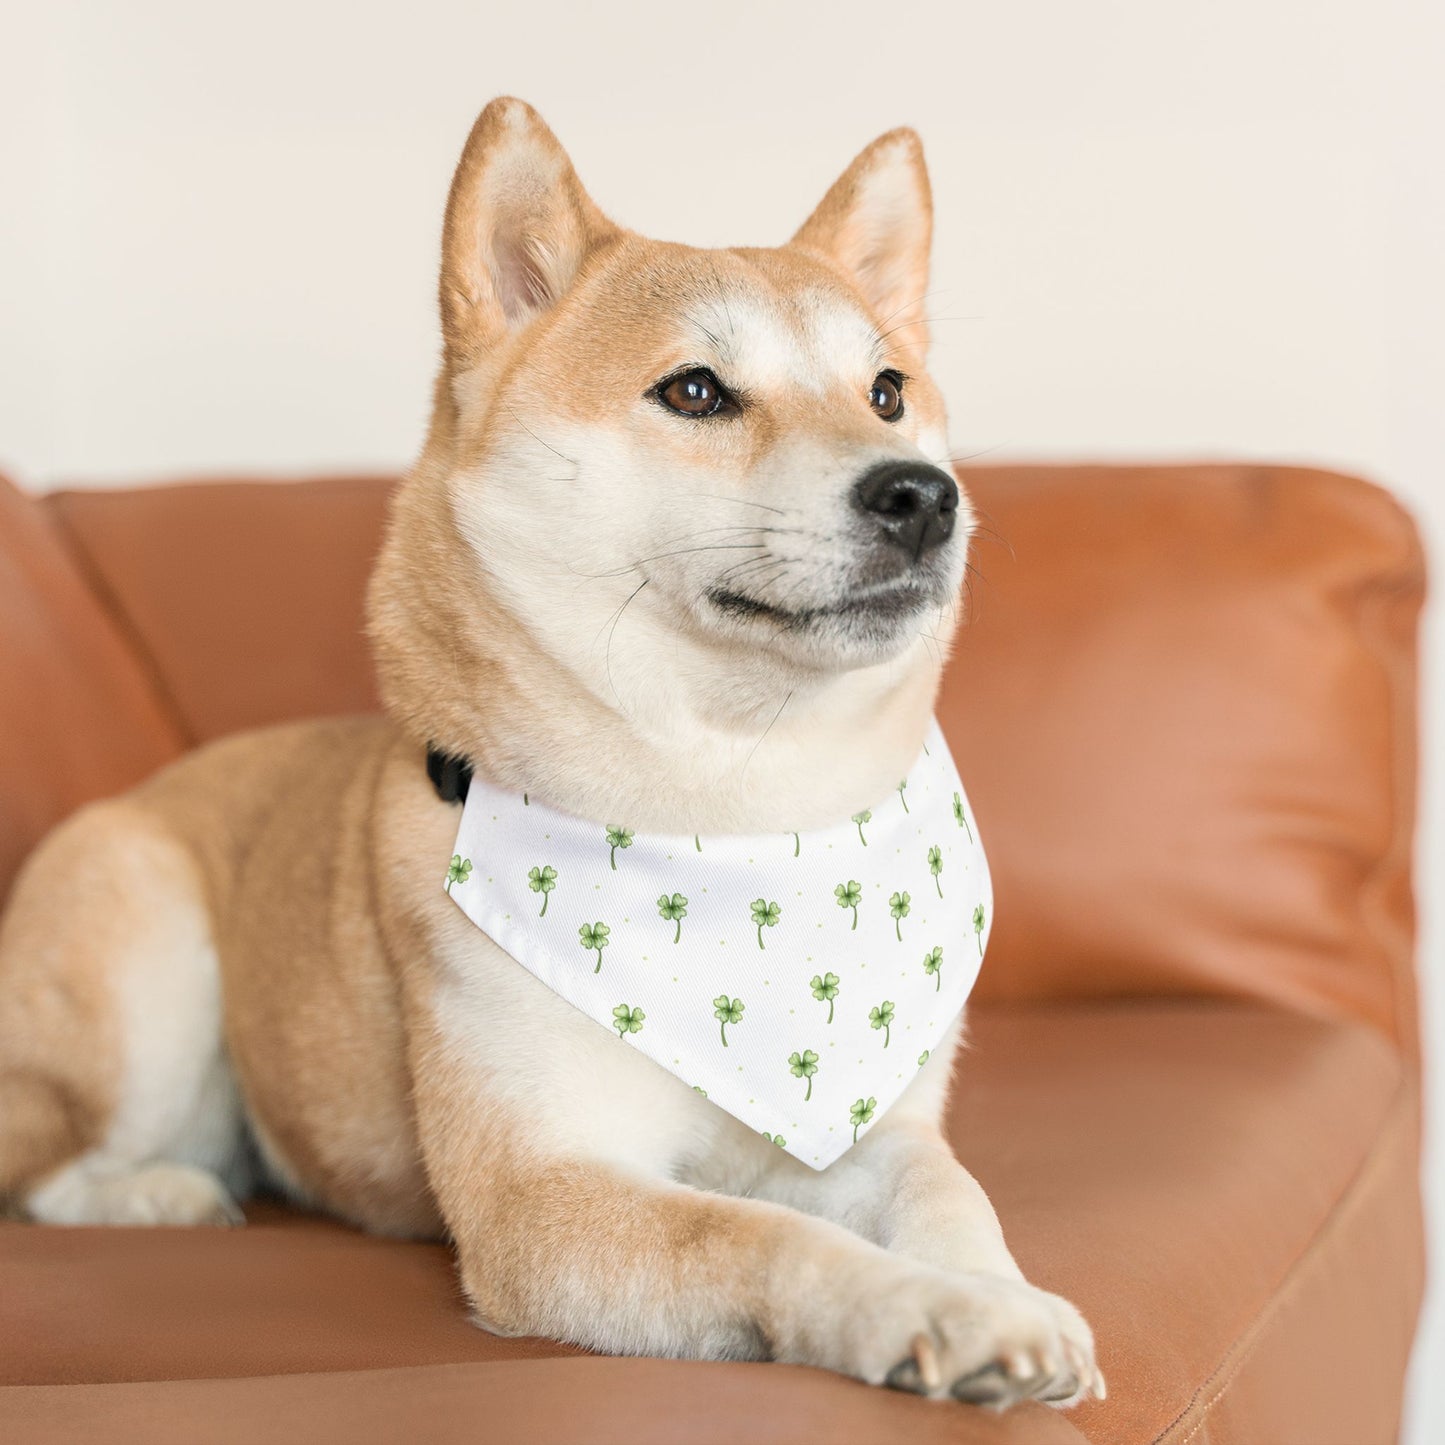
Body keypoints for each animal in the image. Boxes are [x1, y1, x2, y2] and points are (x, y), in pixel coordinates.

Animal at [0, 96, 1098, 1404]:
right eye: (694, 390)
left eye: (886, 390)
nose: (923, 494)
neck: (734, 814)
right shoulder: (541, 1193)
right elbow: (764, 1235)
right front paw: (926, 1307)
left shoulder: (874, 1126)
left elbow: (949, 1191)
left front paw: (1001, 1293)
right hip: (145, 963)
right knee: (47, 1165)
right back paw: (162, 1192)